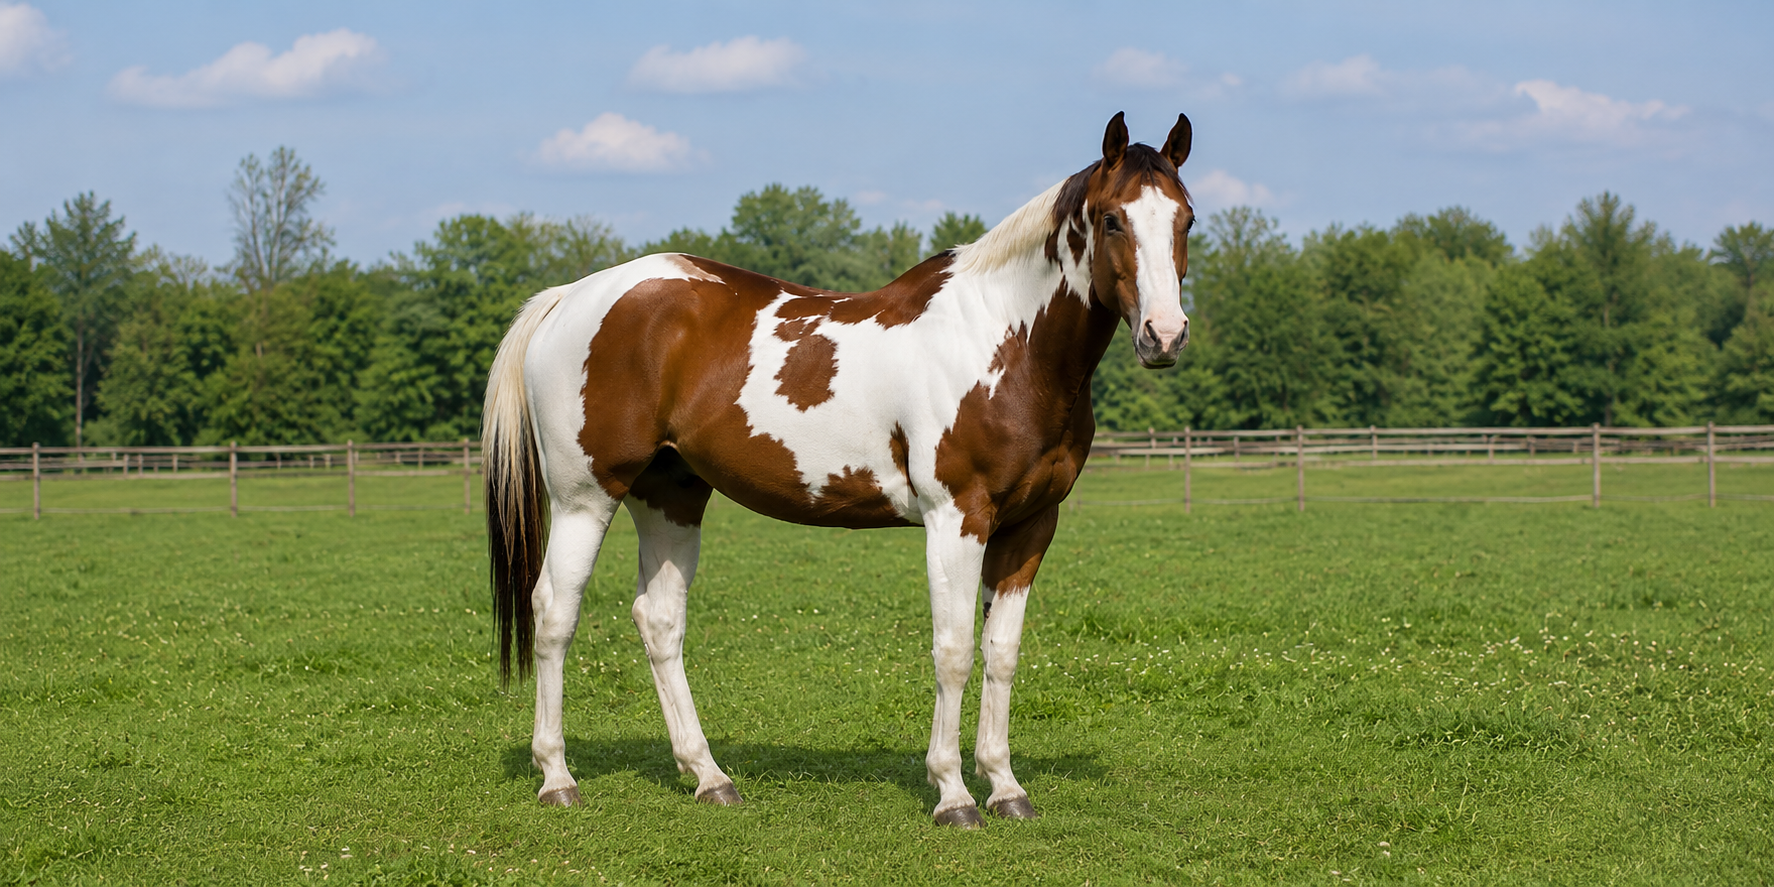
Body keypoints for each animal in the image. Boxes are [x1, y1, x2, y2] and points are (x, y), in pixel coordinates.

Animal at [482, 111, 1194, 828]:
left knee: (658, 620)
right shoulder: (956, 518)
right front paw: (953, 793)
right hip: (584, 497)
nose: (1165, 335)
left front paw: (1004, 785)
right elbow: (954, 652)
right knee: (553, 612)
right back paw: (557, 776)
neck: (1003, 342)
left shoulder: (1030, 525)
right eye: (1112, 219)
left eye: (1185, 219)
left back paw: (708, 775)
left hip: (671, 496)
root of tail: (570, 296)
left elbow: (1002, 653)